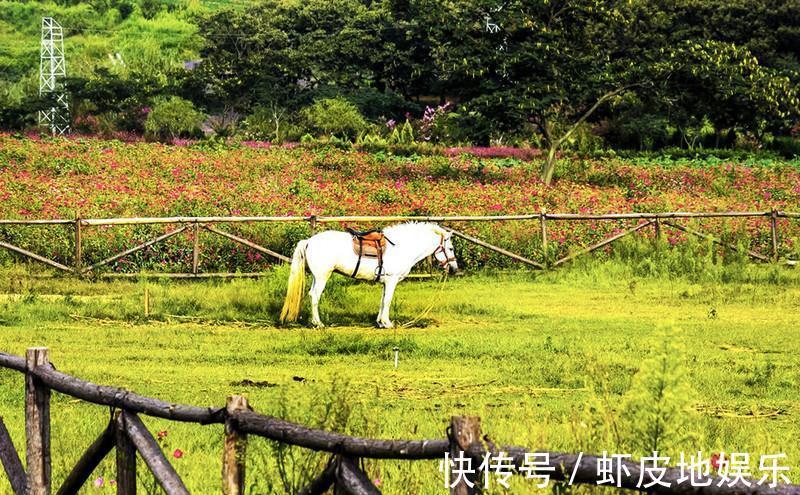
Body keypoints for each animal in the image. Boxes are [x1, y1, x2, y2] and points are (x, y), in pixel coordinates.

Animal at [280, 223, 456, 328]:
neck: (401, 247)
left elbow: (382, 301)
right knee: (315, 296)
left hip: (317, 277)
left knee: (311, 294)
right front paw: (387, 323)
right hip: (323, 276)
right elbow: (387, 301)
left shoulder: (385, 282)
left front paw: (380, 322)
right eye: (451, 248)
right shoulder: (392, 280)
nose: (454, 268)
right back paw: (318, 323)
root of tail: (309, 241)